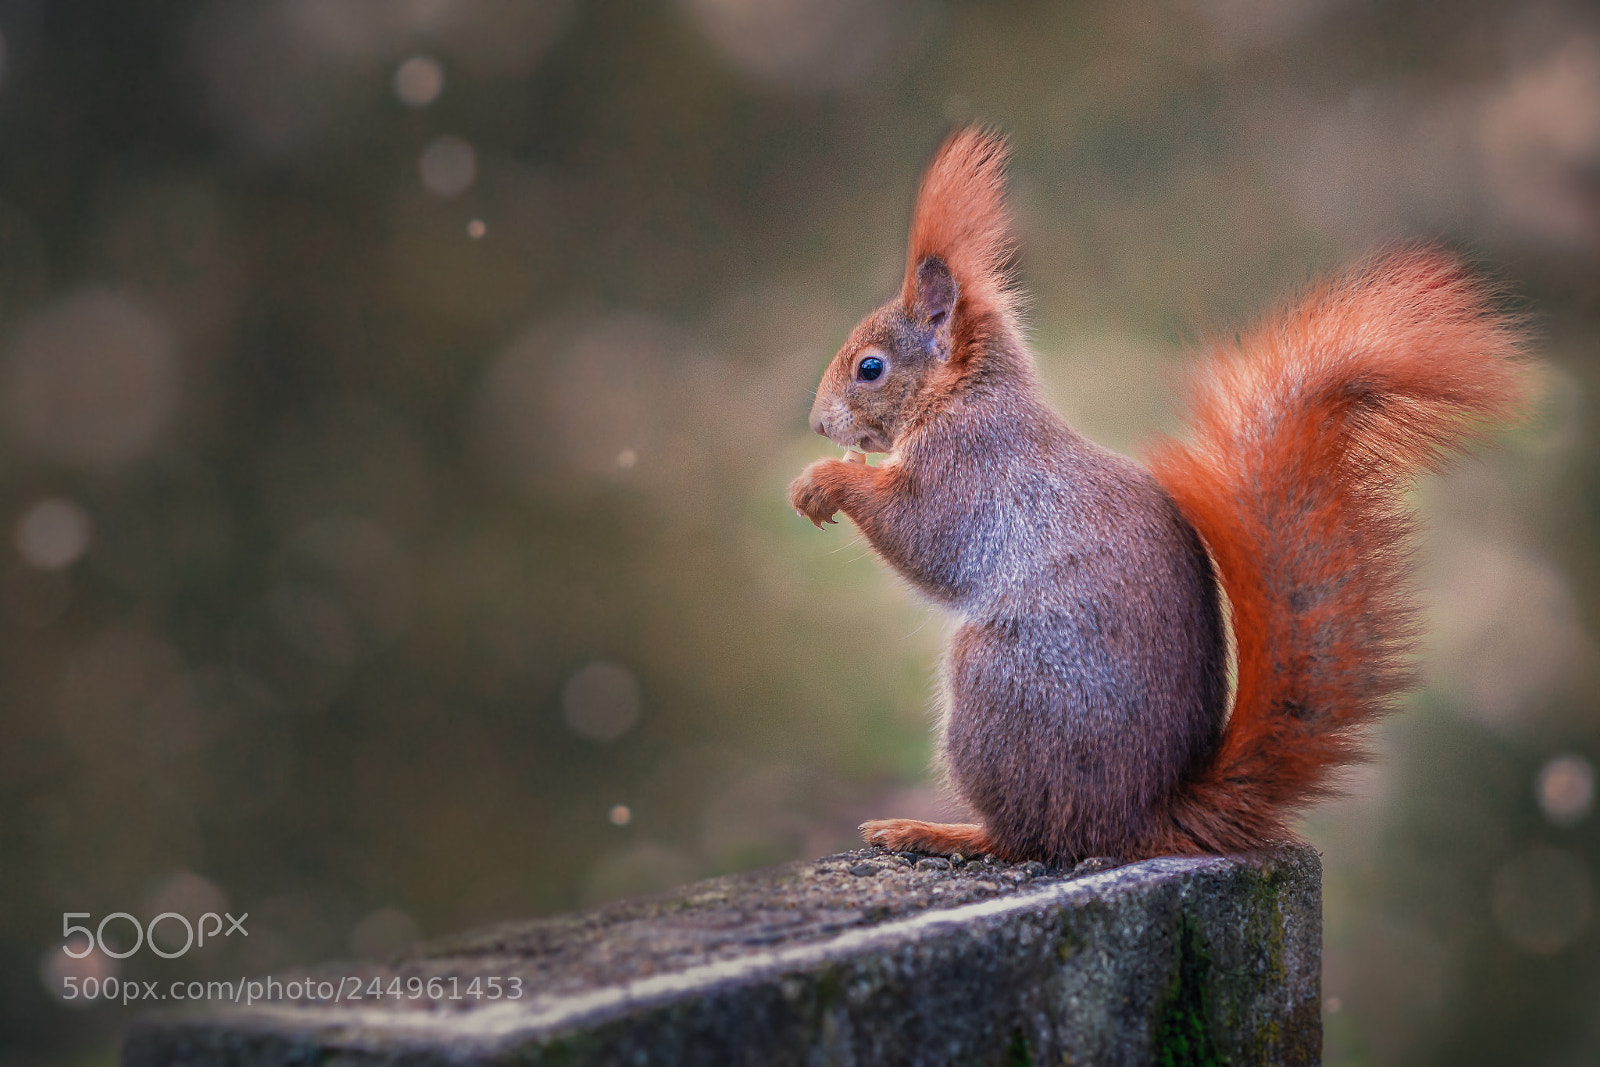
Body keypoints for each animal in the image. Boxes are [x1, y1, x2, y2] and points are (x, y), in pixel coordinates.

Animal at [787, 126, 1533, 865]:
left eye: (870, 368)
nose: (819, 424)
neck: (965, 395)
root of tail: (1141, 817)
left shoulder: (971, 468)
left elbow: (923, 534)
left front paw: (825, 481)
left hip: (1000, 690)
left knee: (1028, 837)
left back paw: (936, 831)